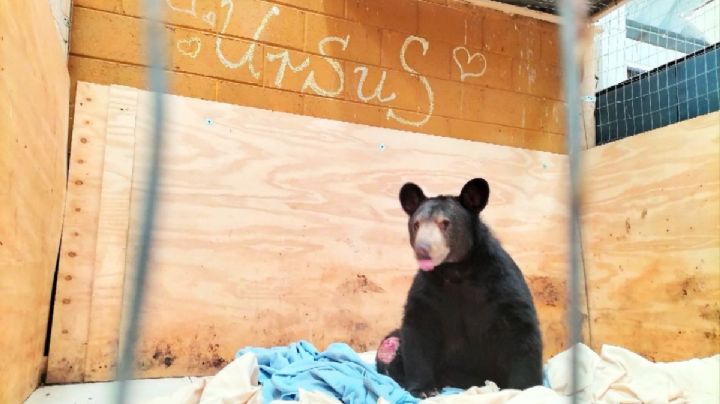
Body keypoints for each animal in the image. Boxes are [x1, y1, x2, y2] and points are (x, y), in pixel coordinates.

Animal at [375, 178, 543, 398]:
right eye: (416, 224)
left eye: (445, 223)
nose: (422, 250)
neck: (456, 270)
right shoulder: (428, 290)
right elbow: (418, 328)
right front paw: (423, 389)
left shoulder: (500, 281)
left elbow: (519, 328)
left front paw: (524, 388)